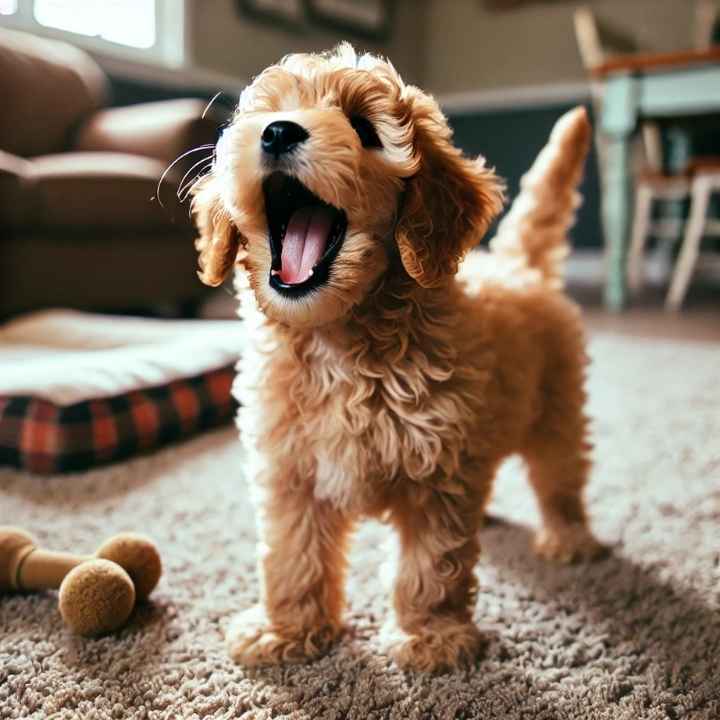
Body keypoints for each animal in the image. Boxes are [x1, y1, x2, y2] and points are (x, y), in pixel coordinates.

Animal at [193, 43, 608, 676]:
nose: (278, 131)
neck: (341, 342)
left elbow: (432, 565)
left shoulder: (437, 470)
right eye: (266, 112)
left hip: (557, 407)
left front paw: (430, 637)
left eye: (364, 128)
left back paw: (570, 537)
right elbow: (291, 554)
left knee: (560, 474)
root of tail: (521, 266)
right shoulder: (291, 469)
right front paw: (287, 630)